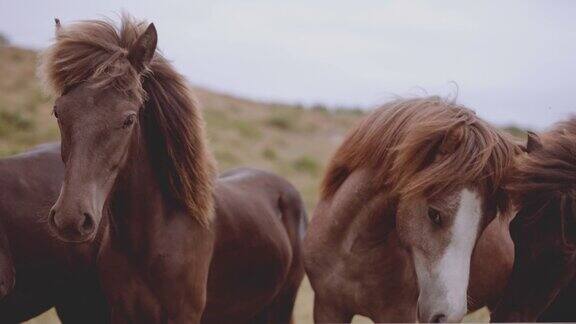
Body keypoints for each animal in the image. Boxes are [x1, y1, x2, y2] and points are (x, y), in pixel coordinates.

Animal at [304, 97, 524, 322]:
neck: (352, 253)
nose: (447, 316)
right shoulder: (327, 308)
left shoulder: (397, 315)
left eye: (487, 222)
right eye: (434, 214)